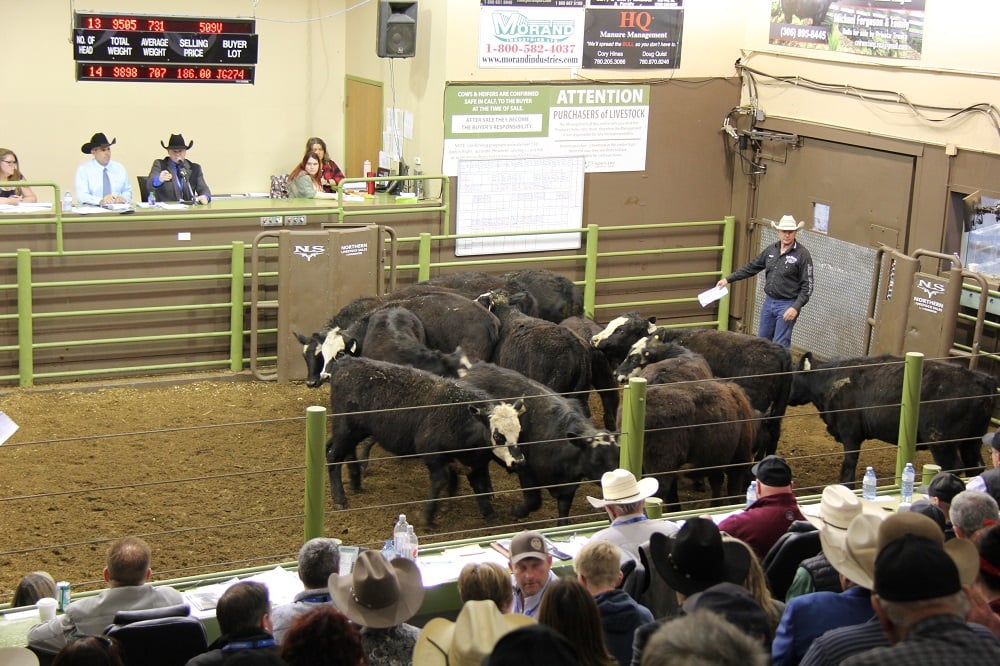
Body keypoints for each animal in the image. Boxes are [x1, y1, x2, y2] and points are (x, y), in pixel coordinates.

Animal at [330, 356, 532, 528]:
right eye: (498, 436)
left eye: (519, 432)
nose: (519, 461)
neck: (460, 420)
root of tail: (346, 362)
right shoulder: (433, 454)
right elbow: (440, 480)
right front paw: (427, 516)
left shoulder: (475, 463)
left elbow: (479, 486)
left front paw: (489, 514)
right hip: (345, 429)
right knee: (332, 456)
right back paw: (339, 499)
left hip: (353, 431)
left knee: (346, 451)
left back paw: (355, 481)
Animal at [458, 360, 616, 520]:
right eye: (596, 461)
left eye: (617, 456)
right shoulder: (526, 472)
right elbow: (534, 502)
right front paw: (517, 511)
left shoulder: (568, 486)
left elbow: (563, 513)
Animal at [788, 352, 1000, 482]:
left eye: (792, 374)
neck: (831, 379)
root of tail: (984, 380)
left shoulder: (850, 433)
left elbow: (849, 463)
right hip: (971, 441)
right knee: (975, 466)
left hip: (941, 442)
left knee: (953, 467)